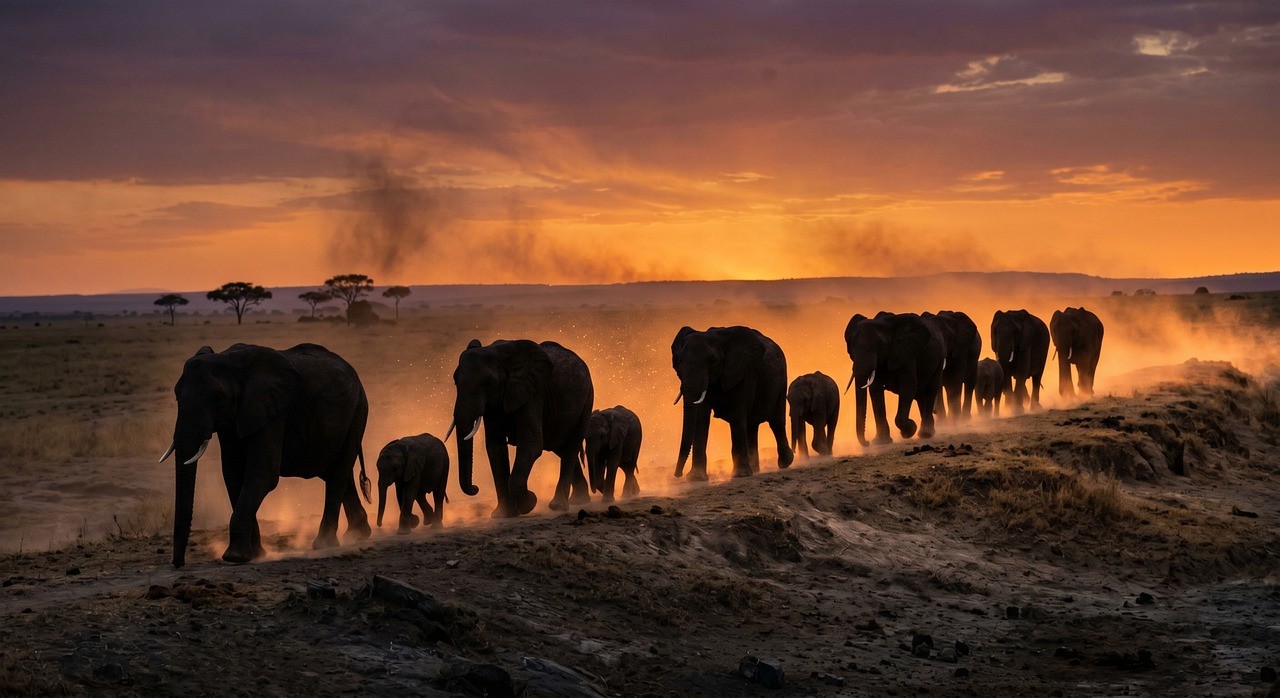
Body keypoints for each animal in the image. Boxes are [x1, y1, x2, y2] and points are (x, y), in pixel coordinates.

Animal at [160, 343, 371, 568]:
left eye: (218, 397)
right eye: (176, 396)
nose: (178, 563)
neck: (230, 360)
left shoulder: (274, 411)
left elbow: (263, 474)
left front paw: (235, 557)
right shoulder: (235, 419)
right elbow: (234, 475)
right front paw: (256, 554)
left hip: (357, 412)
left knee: (338, 473)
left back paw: (324, 545)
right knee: (336, 471)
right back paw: (358, 534)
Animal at [449, 339, 593, 517]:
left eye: (489, 383)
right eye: (455, 381)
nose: (475, 488)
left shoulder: (533, 394)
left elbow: (531, 444)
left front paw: (529, 503)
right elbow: (495, 448)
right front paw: (503, 514)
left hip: (587, 399)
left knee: (571, 446)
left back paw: (558, 506)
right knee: (561, 447)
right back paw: (579, 500)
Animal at [672, 326, 793, 480]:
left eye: (712, 361)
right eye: (680, 361)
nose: (677, 474)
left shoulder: (744, 373)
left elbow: (736, 416)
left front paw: (740, 475)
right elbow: (700, 419)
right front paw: (696, 478)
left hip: (781, 381)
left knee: (776, 422)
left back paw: (785, 462)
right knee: (751, 426)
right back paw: (755, 469)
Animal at [844, 312, 945, 446]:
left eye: (880, 346)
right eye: (852, 347)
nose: (867, 442)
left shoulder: (907, 354)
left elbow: (908, 386)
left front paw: (910, 429)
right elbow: (875, 390)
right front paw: (880, 442)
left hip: (939, 358)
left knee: (930, 389)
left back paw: (925, 434)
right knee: (920, 394)